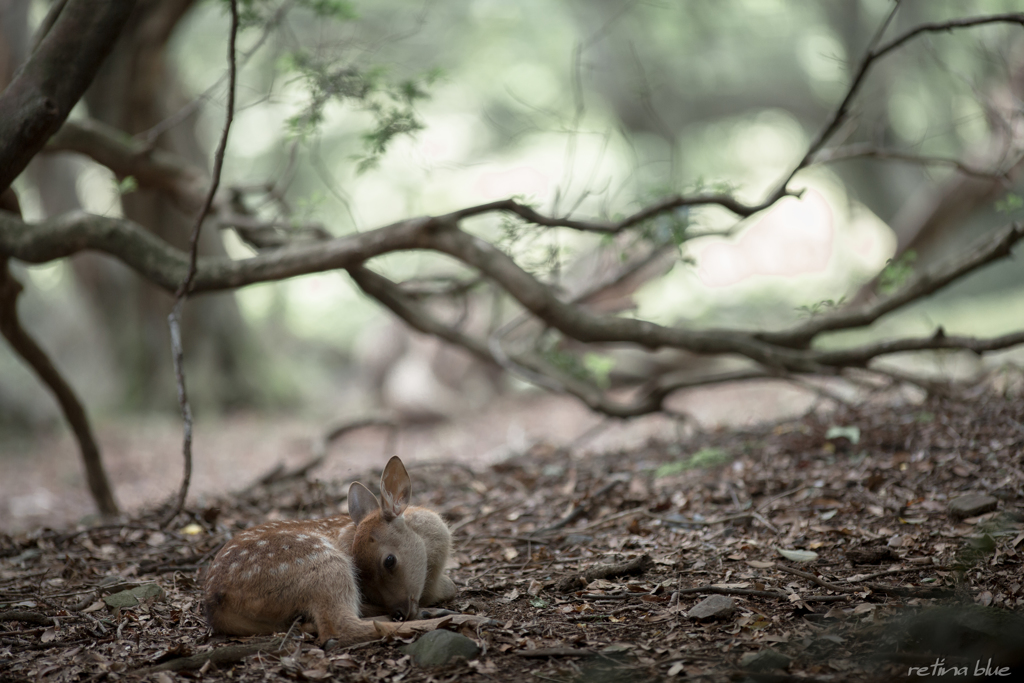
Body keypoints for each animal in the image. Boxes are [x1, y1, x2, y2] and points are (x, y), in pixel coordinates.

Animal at [202, 458, 471, 647]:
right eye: (390, 560)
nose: (399, 611)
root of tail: (217, 603)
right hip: (322, 564)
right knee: (340, 629)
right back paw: (453, 619)